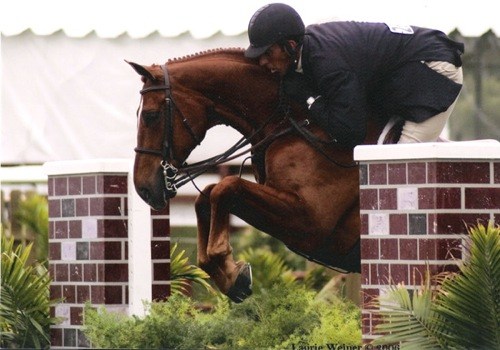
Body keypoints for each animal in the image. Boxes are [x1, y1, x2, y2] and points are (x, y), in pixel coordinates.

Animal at [128, 47, 386, 302]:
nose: (143, 188)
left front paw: (230, 269)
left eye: (150, 115)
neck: (300, 124)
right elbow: (208, 195)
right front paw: (231, 277)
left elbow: (226, 187)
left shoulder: (310, 222)